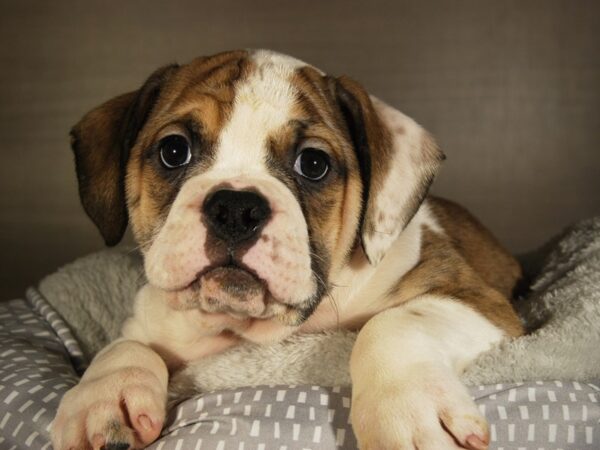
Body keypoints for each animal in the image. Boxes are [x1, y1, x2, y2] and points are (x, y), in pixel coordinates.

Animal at [51, 50, 524, 450]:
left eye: (313, 164)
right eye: (173, 150)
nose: (235, 208)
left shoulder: (473, 299)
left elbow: (390, 326)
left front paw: (407, 412)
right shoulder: (152, 319)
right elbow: (123, 347)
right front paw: (103, 398)